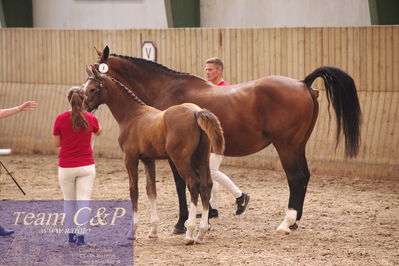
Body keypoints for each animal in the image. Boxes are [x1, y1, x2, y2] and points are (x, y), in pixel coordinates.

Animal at [83, 65, 225, 244]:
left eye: (92, 89)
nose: (83, 109)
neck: (132, 115)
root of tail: (195, 112)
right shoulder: (148, 160)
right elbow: (151, 190)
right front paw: (153, 231)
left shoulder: (130, 158)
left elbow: (134, 191)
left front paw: (132, 231)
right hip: (201, 158)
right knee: (206, 184)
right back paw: (201, 233)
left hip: (182, 160)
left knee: (194, 184)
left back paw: (189, 233)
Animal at [94, 46, 362, 236]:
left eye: (94, 72)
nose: (85, 99)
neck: (167, 90)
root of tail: (303, 83)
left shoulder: (175, 155)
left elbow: (181, 185)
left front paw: (181, 224)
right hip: (298, 145)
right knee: (304, 177)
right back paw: (294, 221)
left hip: (286, 146)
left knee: (296, 178)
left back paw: (286, 223)